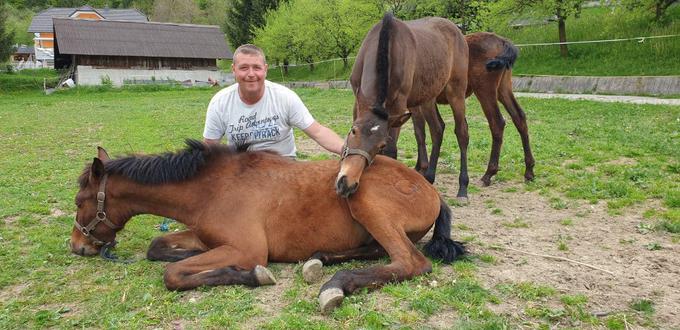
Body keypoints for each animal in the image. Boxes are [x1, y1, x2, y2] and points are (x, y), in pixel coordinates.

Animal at [71, 140, 464, 314]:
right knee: (377, 252)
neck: (212, 188)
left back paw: (337, 284)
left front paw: (251, 275)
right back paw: (320, 259)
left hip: (365, 201)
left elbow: (173, 275)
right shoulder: (203, 235)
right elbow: (157, 248)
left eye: (78, 202)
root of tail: (431, 190)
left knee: (410, 262)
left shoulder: (247, 249)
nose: (77, 246)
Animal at [334, 11, 470, 200]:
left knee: (461, 132)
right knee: (436, 129)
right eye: (353, 131)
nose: (346, 184)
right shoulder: (359, 102)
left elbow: (392, 151)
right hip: (427, 98)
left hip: (456, 92)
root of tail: (457, 30)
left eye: (381, 144)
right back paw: (428, 176)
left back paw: (462, 186)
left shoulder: (397, 107)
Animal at [410, 32, 536, 188]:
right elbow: (420, 132)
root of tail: (502, 41)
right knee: (519, 117)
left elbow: (420, 133)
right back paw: (529, 170)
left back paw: (488, 173)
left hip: (484, 90)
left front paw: (422, 168)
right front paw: (418, 167)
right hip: (503, 88)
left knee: (497, 123)